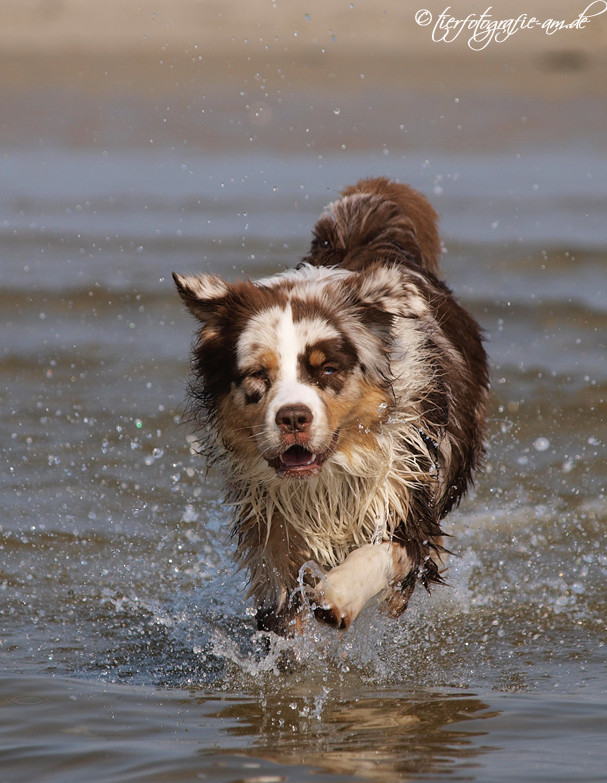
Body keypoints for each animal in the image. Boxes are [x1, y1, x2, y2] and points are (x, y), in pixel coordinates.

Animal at [172, 179, 490, 636]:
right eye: (257, 374)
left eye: (327, 370)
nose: (293, 417)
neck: (328, 476)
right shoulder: (272, 528)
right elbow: (282, 611)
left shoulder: (407, 496)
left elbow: (387, 551)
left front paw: (338, 595)